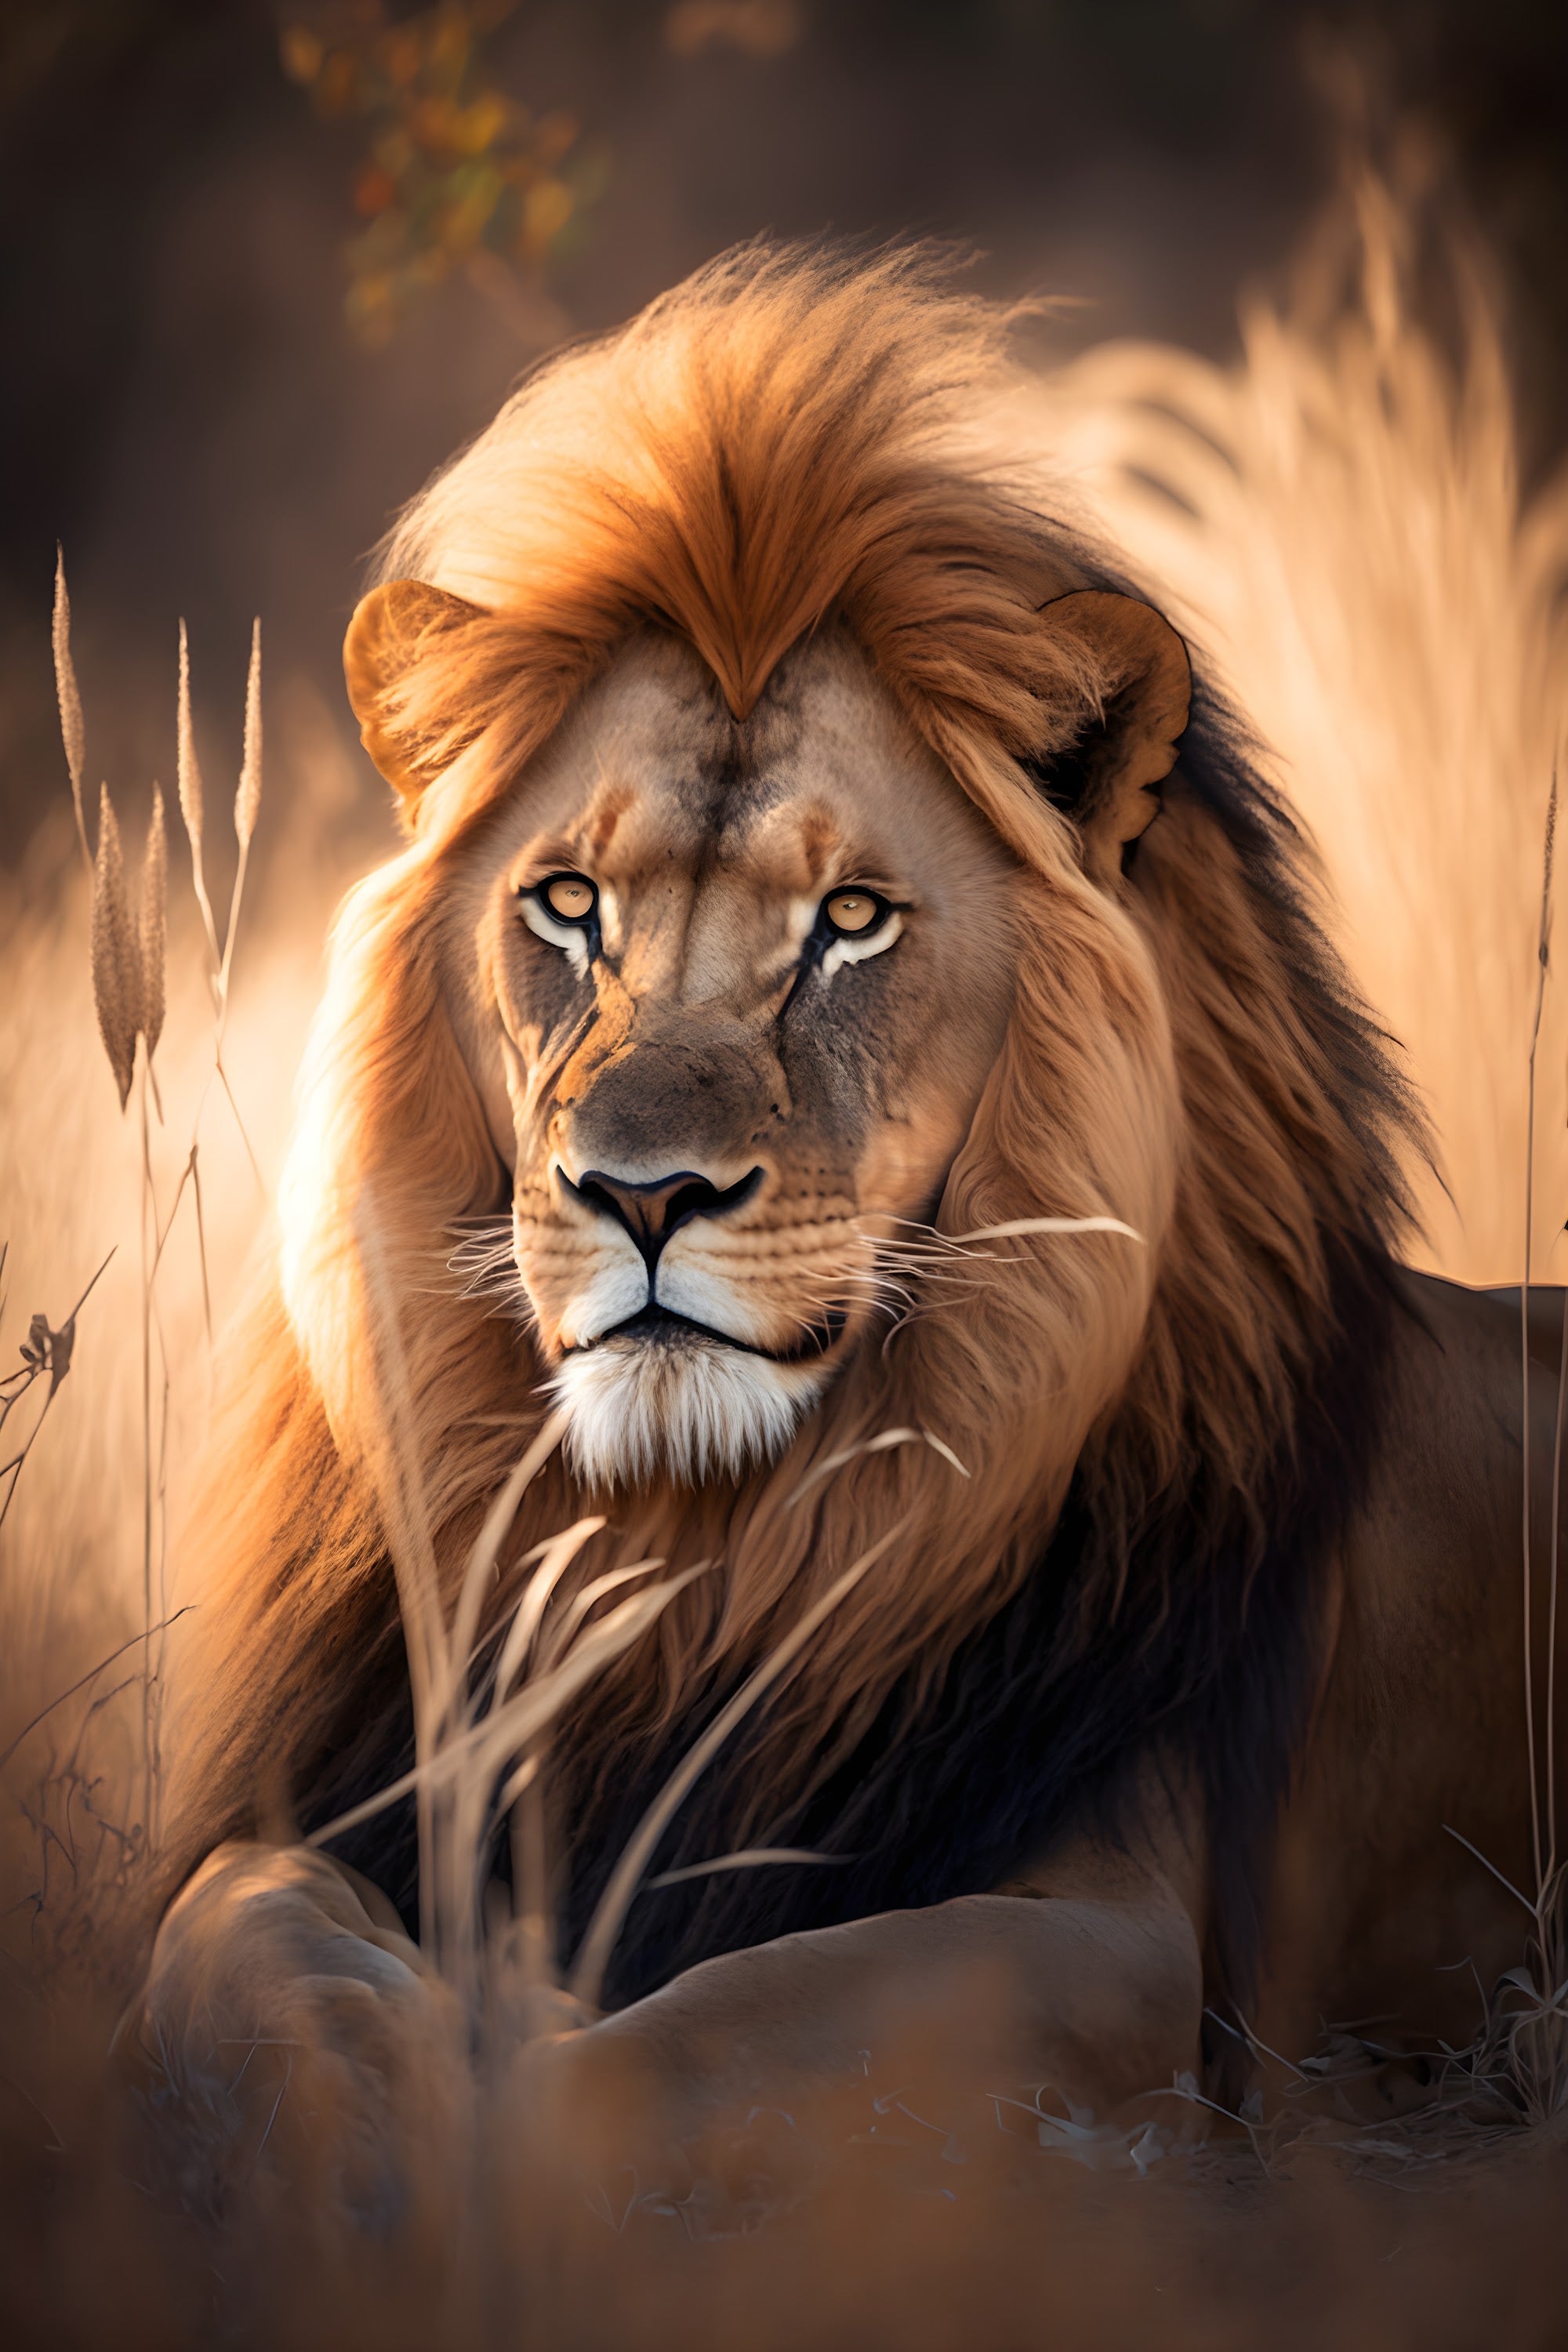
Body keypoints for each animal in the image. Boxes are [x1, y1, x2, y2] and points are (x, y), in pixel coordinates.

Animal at [138, 242, 1565, 2202]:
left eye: (852, 921)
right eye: (566, 904)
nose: (640, 1193)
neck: (703, 1556)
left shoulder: (1130, 1937)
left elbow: (664, 2056)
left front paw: (493, 2110)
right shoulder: (344, 1803)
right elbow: (228, 1927)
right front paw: (369, 2103)